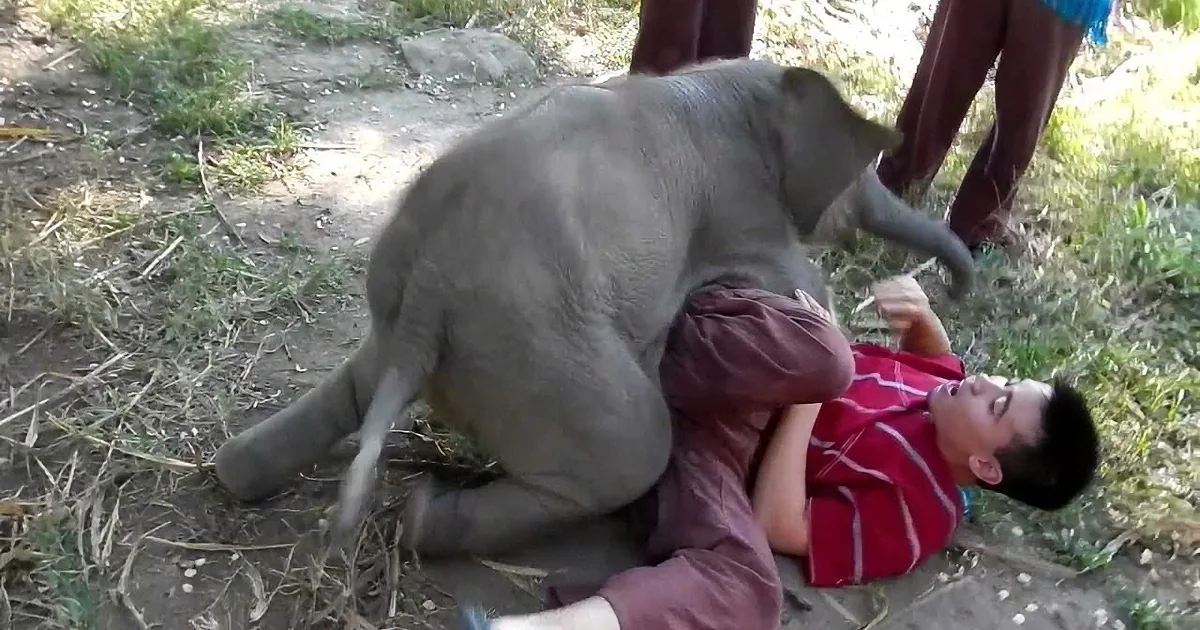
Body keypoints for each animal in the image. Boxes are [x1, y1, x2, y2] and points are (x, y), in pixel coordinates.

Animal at [212, 59, 977, 558]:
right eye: (863, 177)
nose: (956, 287)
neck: (738, 79)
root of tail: (432, 286)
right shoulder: (742, 211)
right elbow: (805, 289)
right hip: (540, 351)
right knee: (637, 447)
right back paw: (423, 520)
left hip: (408, 314)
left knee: (356, 385)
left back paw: (234, 476)